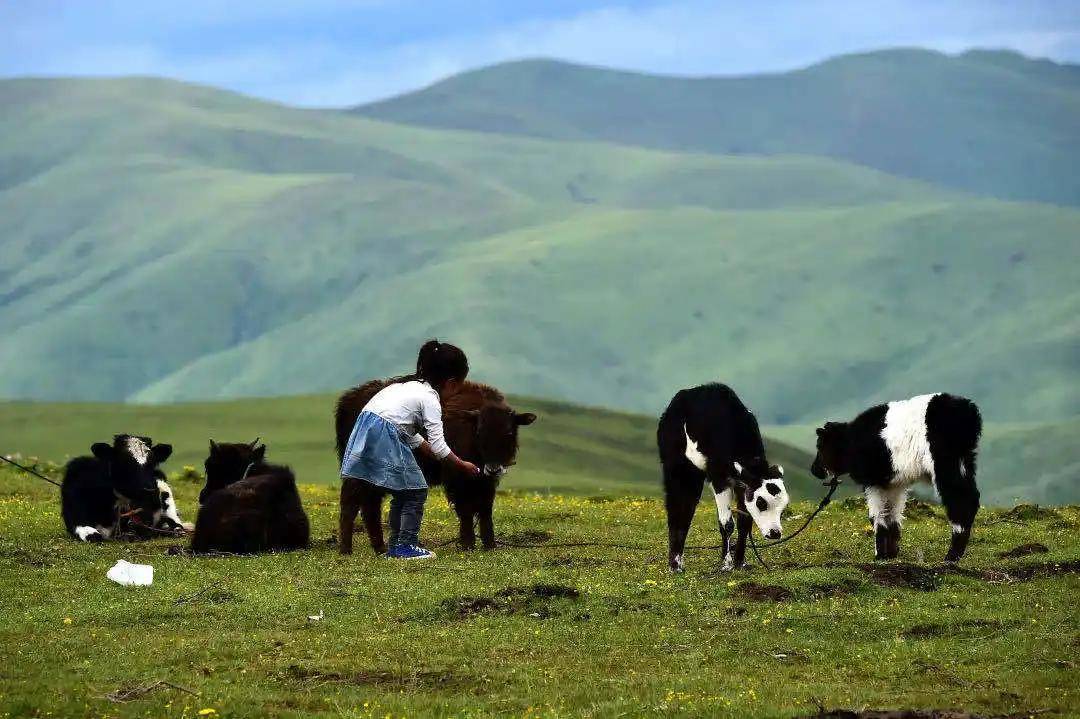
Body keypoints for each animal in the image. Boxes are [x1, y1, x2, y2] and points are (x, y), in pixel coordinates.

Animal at [60, 433, 190, 539]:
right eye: (124, 462)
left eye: (153, 462)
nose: (149, 489)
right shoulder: (76, 519)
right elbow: (94, 536)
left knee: (176, 525)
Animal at [652, 384, 790, 574]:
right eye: (761, 503)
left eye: (783, 508)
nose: (775, 533)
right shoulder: (719, 478)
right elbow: (727, 523)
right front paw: (726, 564)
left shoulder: (742, 483)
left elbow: (744, 521)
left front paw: (740, 562)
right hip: (678, 467)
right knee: (679, 506)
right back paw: (675, 564)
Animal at [812, 392, 984, 561]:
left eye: (819, 446)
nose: (814, 471)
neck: (852, 440)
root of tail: (967, 408)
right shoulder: (893, 483)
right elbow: (892, 514)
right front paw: (891, 553)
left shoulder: (873, 482)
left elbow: (877, 515)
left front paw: (880, 555)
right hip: (963, 462)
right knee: (970, 498)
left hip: (945, 465)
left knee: (960, 501)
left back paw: (952, 556)